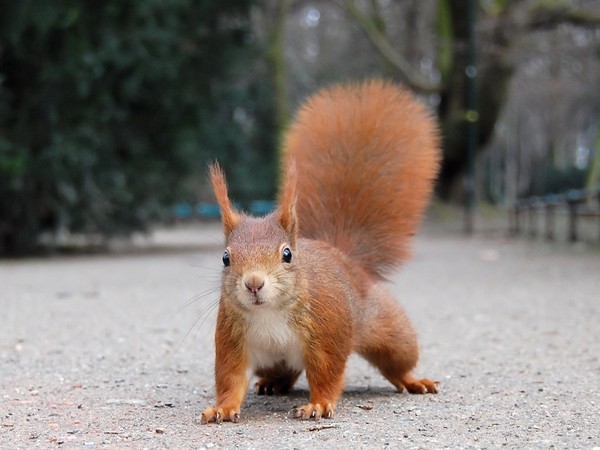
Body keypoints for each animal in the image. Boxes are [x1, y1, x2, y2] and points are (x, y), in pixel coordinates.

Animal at [202, 79, 440, 424]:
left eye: (287, 254)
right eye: (225, 258)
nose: (254, 283)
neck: (269, 312)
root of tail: (344, 256)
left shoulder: (327, 333)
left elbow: (326, 373)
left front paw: (317, 404)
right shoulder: (233, 340)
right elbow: (230, 378)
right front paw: (222, 407)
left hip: (389, 329)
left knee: (397, 361)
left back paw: (413, 380)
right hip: (272, 360)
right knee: (284, 371)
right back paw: (273, 384)